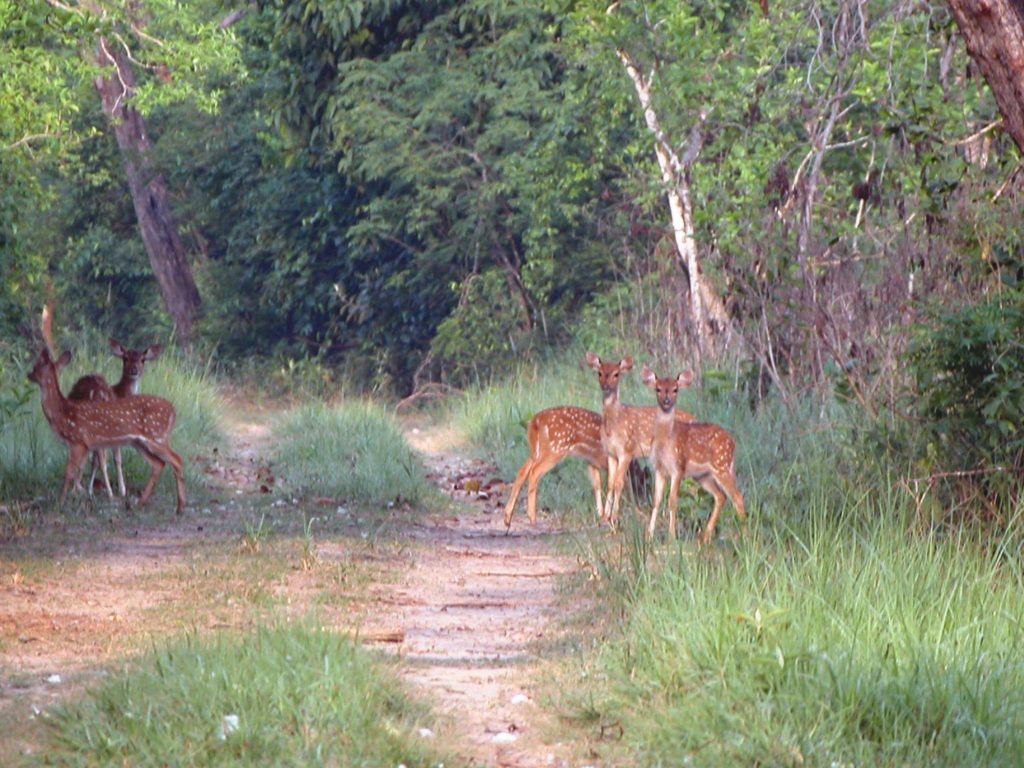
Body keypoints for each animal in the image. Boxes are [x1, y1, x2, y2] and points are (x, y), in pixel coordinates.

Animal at [28, 309, 187, 518]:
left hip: (156, 435)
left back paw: (180, 506)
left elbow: (70, 471)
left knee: (177, 459)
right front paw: (78, 496)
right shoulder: (86, 445)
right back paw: (142, 503)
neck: (62, 412)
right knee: (159, 464)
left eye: (36, 367)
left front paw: (60, 503)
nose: (28, 375)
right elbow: (81, 469)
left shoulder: (78, 441)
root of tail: (174, 411)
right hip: (139, 442)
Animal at [585, 354, 696, 528]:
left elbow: (619, 483)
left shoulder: (627, 450)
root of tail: (695, 418)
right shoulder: (611, 453)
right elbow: (610, 483)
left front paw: (614, 518)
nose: (606, 386)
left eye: (616, 374)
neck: (614, 424)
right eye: (600, 373)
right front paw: (604, 518)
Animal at [638, 364, 745, 544]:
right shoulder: (659, 469)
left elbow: (672, 501)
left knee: (737, 497)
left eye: (675, 389)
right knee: (721, 496)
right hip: (703, 475)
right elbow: (657, 501)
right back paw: (704, 538)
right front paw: (649, 536)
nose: (667, 401)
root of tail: (733, 443)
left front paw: (672, 537)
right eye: (658, 389)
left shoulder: (678, 467)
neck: (665, 441)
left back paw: (746, 537)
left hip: (721, 466)